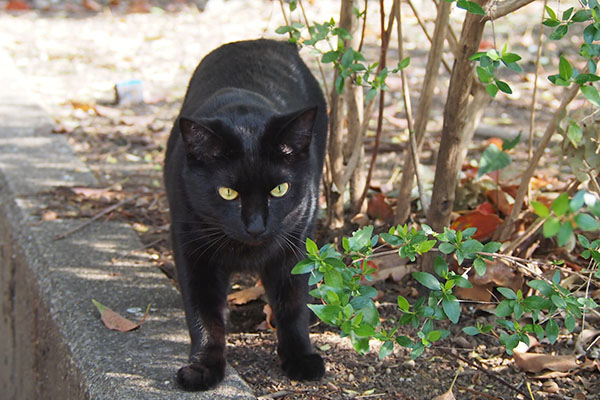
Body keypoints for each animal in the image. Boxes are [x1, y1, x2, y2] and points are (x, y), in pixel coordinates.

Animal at [164, 39, 328, 390]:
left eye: (279, 189)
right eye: (228, 193)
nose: (256, 226)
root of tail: (268, 41)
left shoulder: (295, 242)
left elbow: (293, 304)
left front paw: (301, 358)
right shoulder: (191, 249)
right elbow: (203, 314)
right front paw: (203, 368)